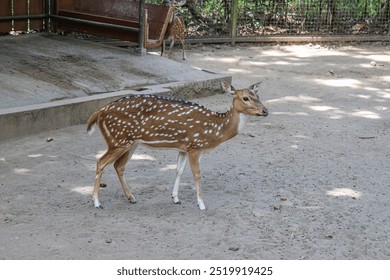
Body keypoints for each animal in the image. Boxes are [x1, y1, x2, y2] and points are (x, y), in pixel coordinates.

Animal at [86, 81, 268, 210]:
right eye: (245, 98)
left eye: (258, 96)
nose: (265, 111)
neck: (215, 130)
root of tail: (99, 112)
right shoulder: (195, 146)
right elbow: (197, 174)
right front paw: (201, 204)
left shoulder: (183, 148)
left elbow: (178, 170)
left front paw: (176, 198)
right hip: (118, 140)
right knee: (101, 162)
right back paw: (97, 202)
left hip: (131, 142)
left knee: (118, 165)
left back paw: (131, 197)